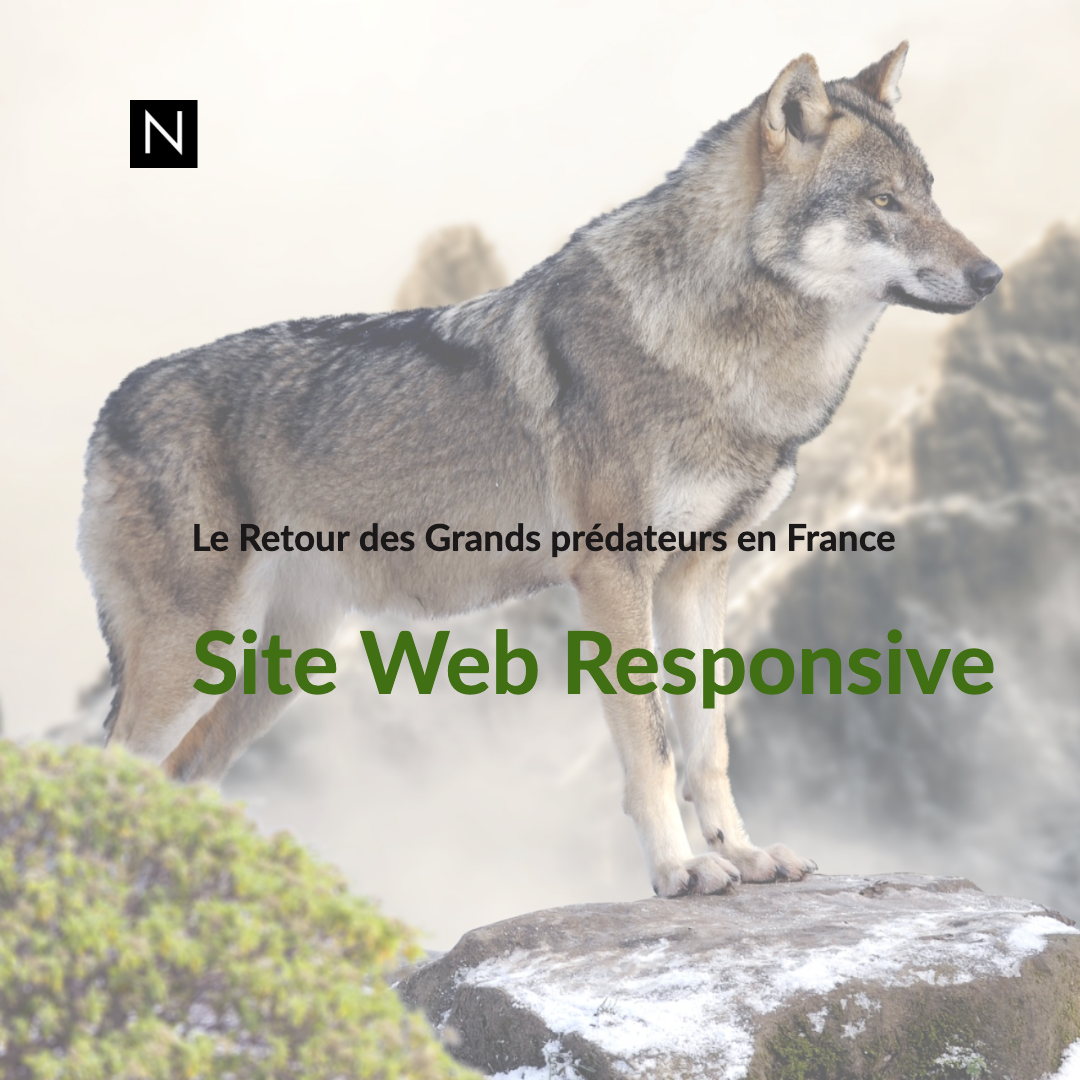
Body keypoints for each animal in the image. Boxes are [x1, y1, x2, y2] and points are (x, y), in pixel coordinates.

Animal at [81, 43, 1001, 897]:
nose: (992, 274)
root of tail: (108, 407)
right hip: (193, 657)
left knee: (182, 777)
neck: (718, 354)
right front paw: (680, 870)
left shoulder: (698, 573)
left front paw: (742, 854)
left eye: (930, 192)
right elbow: (653, 744)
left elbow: (709, 742)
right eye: (882, 202)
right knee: (106, 774)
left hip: (273, 670)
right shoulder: (613, 576)